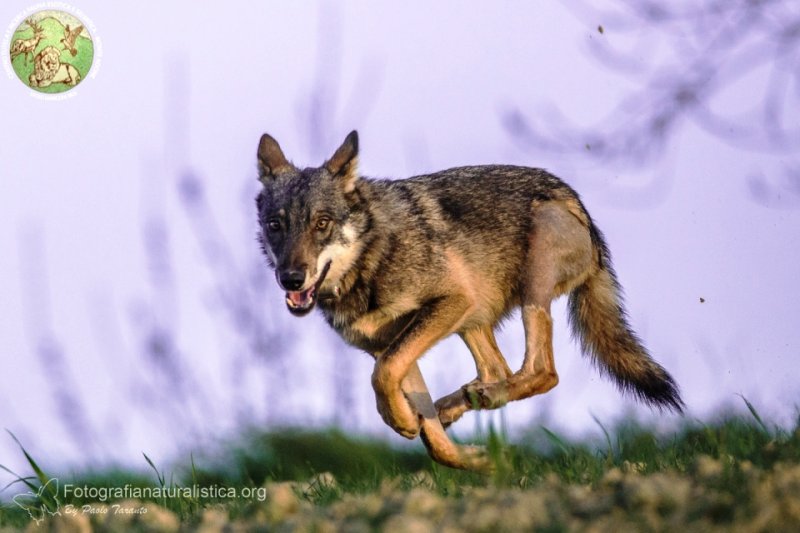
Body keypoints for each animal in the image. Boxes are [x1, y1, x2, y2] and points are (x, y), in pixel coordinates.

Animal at [255, 130, 683, 471]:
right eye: (276, 225)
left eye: (321, 224)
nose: (291, 278)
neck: (371, 257)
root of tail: (579, 206)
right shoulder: (389, 347)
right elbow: (425, 430)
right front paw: (474, 458)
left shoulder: (447, 304)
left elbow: (383, 377)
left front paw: (402, 421)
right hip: (473, 320)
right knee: (497, 370)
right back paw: (459, 403)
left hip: (521, 288)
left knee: (541, 372)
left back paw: (479, 397)